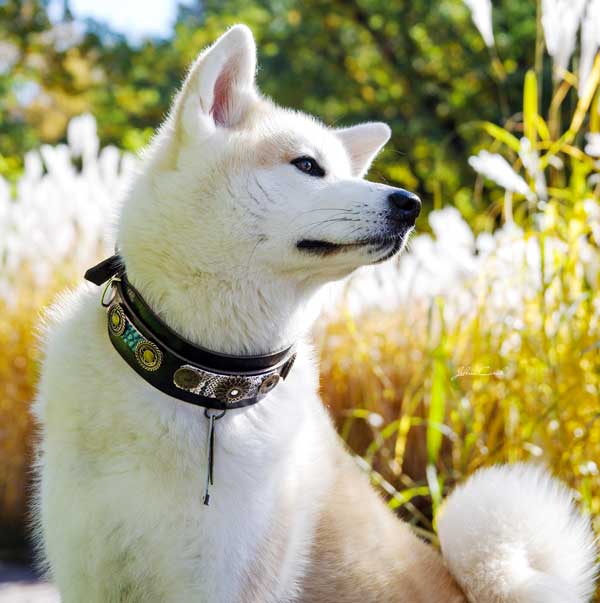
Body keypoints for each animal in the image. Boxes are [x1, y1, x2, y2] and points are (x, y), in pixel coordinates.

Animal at [32, 24, 596, 603]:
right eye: (307, 165)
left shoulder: (222, 580)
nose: (410, 203)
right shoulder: (90, 571)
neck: (201, 383)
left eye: (346, 171)